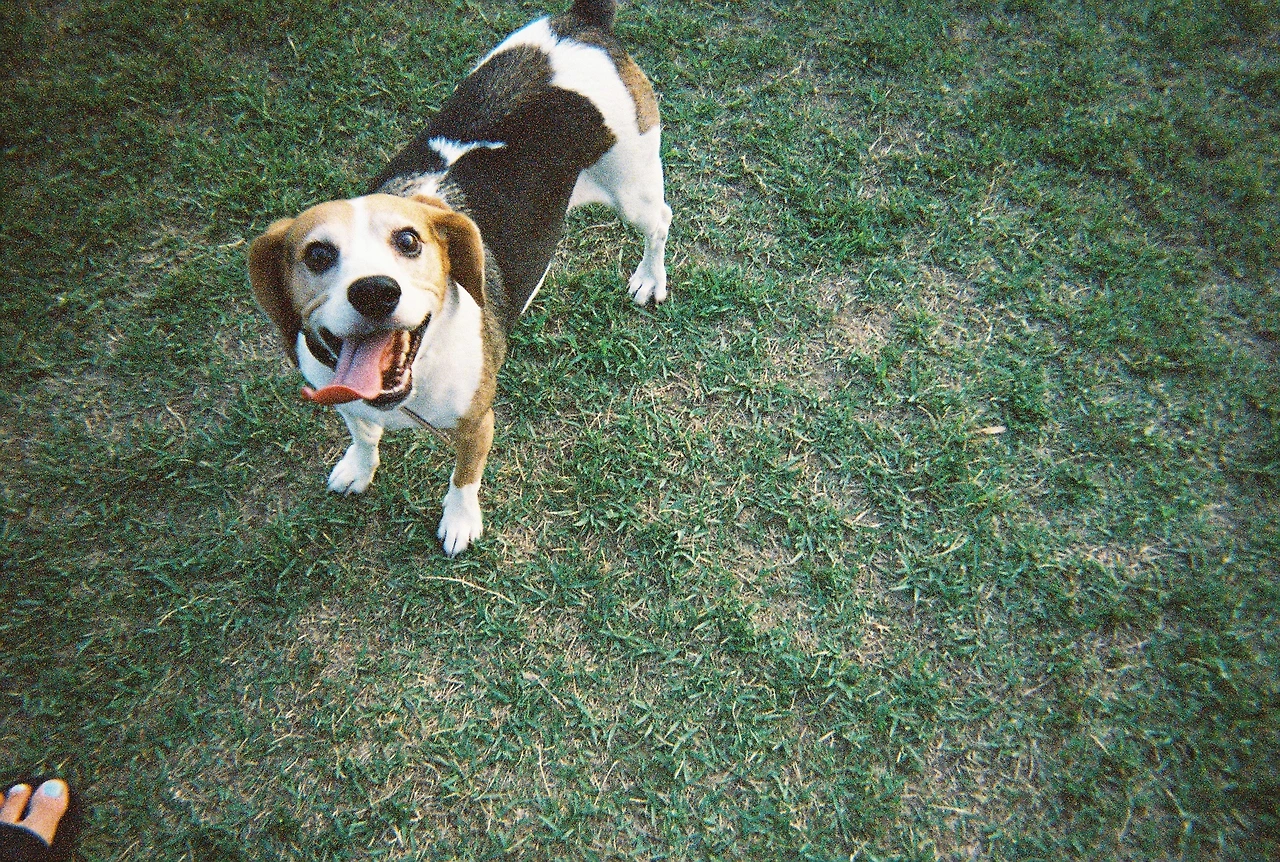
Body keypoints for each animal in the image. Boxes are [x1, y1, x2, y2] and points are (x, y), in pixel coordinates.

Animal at [248, 0, 671, 556]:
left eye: (409, 241)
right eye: (317, 254)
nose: (374, 291)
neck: (411, 377)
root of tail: (582, 23)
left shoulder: (478, 423)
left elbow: (464, 476)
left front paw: (459, 522)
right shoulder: (342, 400)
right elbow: (362, 434)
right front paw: (358, 467)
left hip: (632, 184)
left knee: (660, 221)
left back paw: (650, 278)